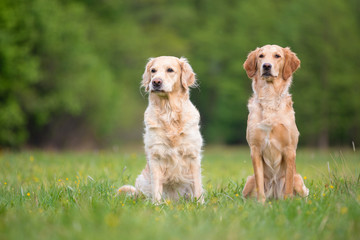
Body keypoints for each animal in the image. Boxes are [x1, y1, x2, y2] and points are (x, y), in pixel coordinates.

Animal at [117, 57, 204, 203]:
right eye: (153, 70)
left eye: (170, 70)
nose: (156, 82)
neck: (169, 112)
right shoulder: (156, 156)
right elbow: (157, 186)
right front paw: (156, 205)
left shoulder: (192, 155)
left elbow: (197, 186)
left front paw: (200, 204)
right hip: (142, 180)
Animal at [240, 44, 308, 202]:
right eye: (261, 56)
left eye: (277, 56)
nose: (266, 66)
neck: (269, 97)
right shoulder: (255, 149)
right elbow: (259, 181)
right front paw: (261, 203)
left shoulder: (289, 149)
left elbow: (288, 181)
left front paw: (288, 202)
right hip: (249, 182)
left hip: (299, 181)